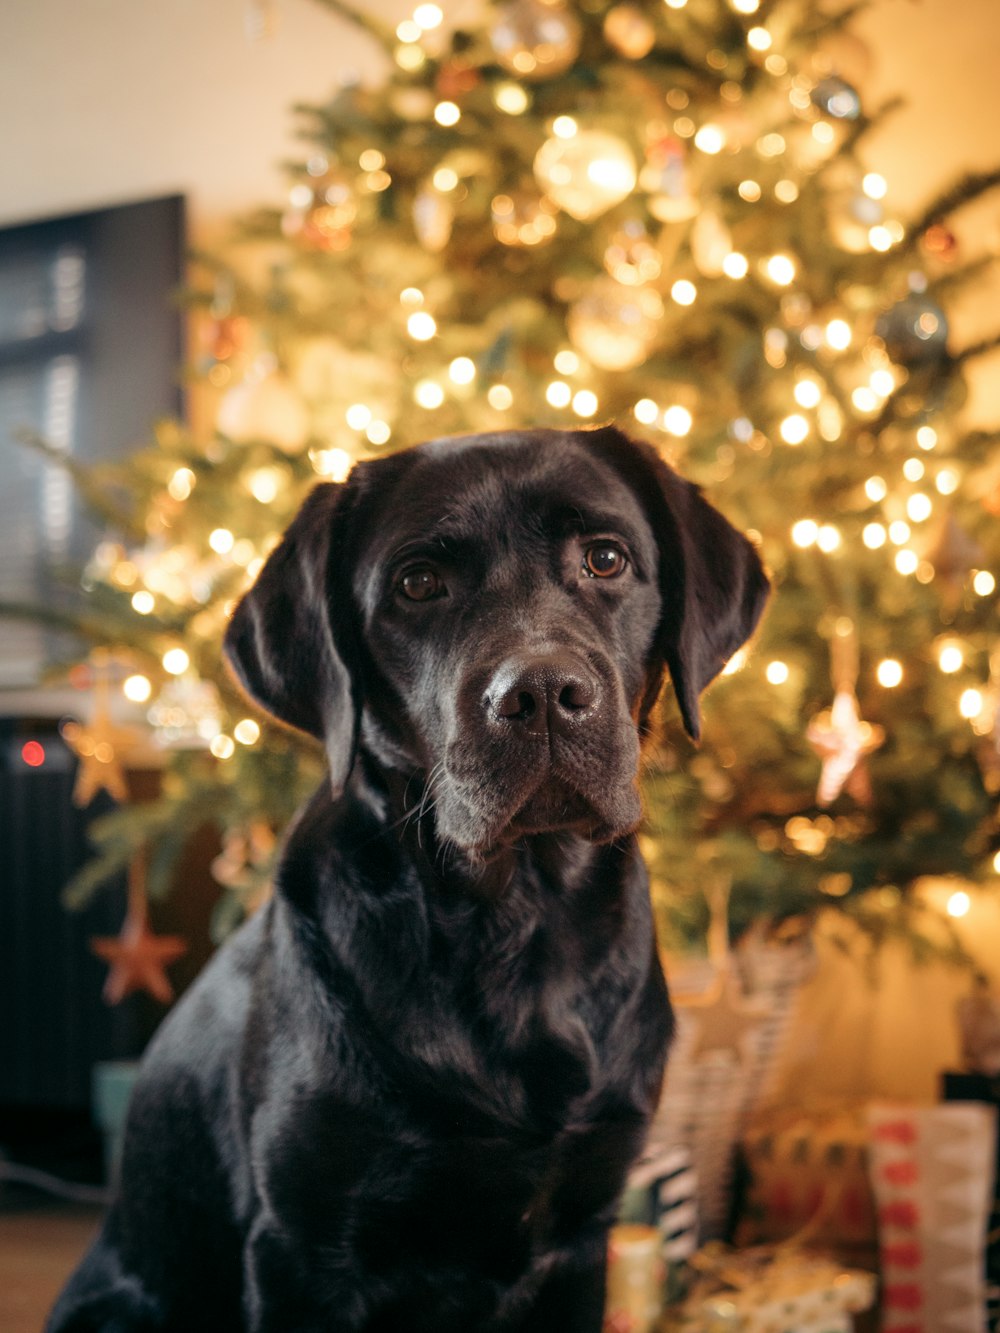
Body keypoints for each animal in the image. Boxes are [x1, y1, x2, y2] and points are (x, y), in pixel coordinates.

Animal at [47, 426, 773, 1333]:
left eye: (606, 558)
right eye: (418, 582)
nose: (541, 692)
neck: (517, 923)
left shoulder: (583, 1231)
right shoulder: (300, 1249)